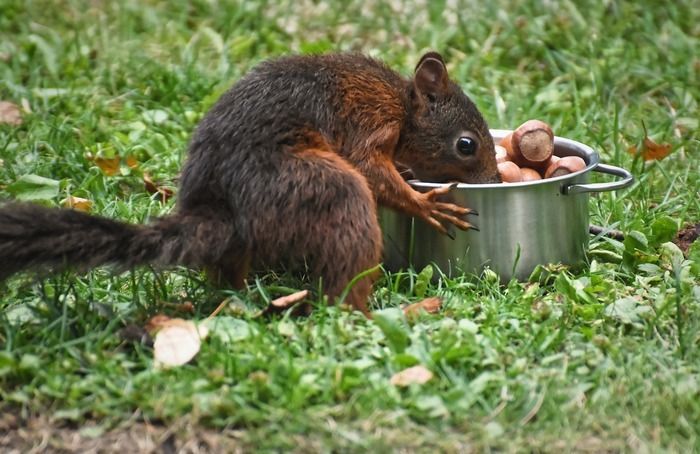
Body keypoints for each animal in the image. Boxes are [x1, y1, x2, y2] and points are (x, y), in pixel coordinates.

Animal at [0, 51, 500, 316]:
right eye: (466, 144)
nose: (495, 180)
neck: (402, 104)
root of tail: (222, 216)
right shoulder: (369, 119)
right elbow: (371, 168)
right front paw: (424, 203)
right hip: (316, 188)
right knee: (342, 269)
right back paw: (370, 312)